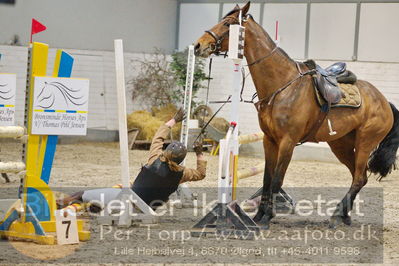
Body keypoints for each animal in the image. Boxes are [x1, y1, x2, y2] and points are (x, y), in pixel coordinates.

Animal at [195, 1, 399, 229]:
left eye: (228, 23)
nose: (198, 45)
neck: (282, 86)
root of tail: (384, 101)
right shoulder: (269, 140)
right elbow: (267, 179)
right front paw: (258, 216)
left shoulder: (288, 142)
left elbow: (277, 179)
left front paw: (267, 217)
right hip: (341, 144)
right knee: (359, 175)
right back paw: (344, 215)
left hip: (365, 143)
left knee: (359, 178)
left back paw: (337, 214)